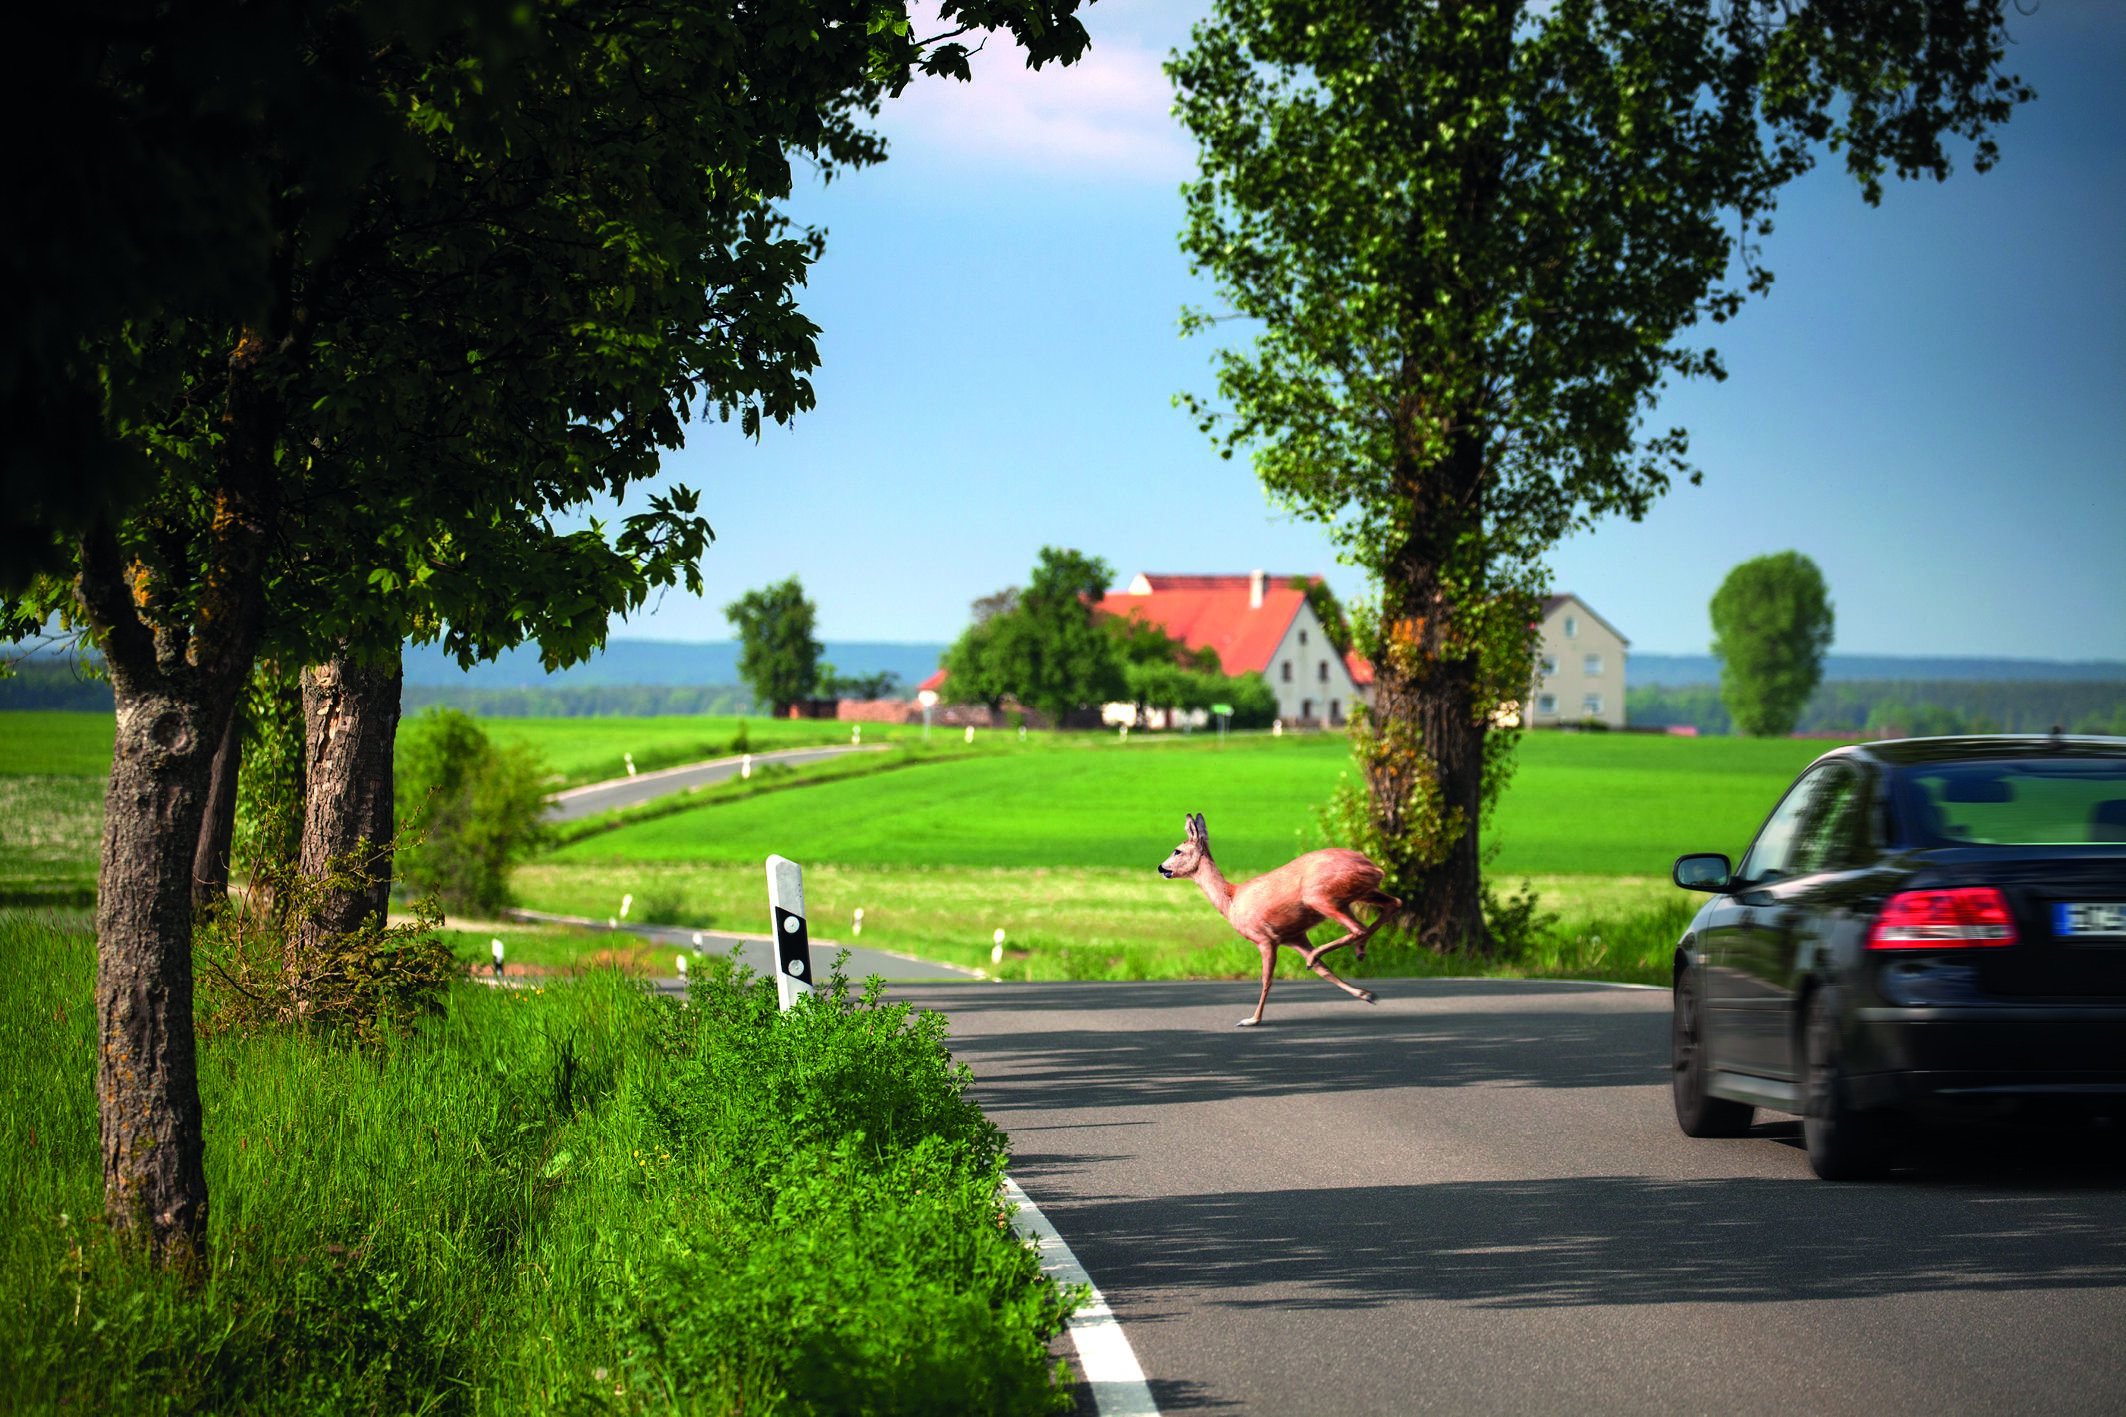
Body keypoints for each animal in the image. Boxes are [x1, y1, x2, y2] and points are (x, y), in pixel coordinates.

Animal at [1156, 807, 1403, 1032]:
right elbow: (1325, 971)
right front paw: (1366, 994)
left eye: (1177, 851)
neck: (1232, 901)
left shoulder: (1264, 938)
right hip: (1356, 894)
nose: (1161, 867)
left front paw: (1252, 1020)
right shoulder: (1294, 937)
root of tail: (1376, 868)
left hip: (1321, 897)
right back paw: (1352, 953)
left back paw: (1327, 955)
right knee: (1393, 903)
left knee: (1359, 927)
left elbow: (1267, 979)